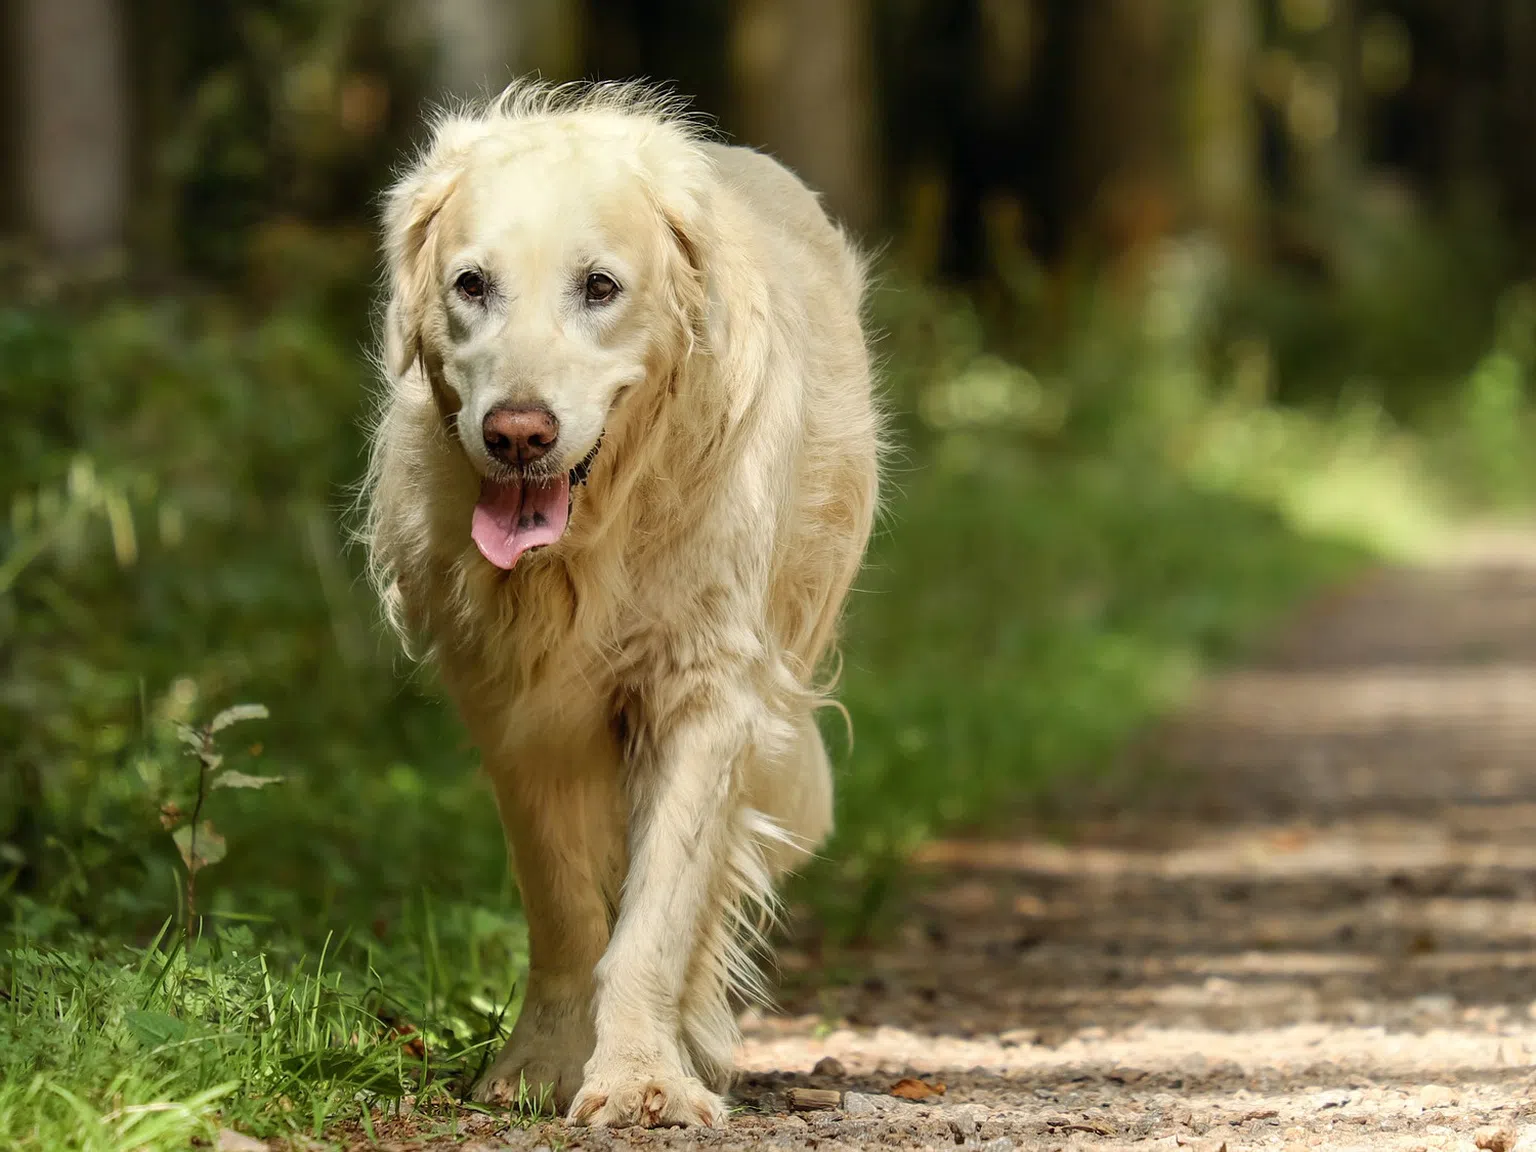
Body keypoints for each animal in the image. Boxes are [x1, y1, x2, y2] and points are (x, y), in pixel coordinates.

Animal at [360, 85, 884, 1130]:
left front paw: (644, 1076)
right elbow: (564, 906)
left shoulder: (708, 692)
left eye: (599, 287)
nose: (518, 433)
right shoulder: (514, 709)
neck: (592, 540)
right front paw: (543, 1064)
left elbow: (661, 910)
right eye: (472, 285)